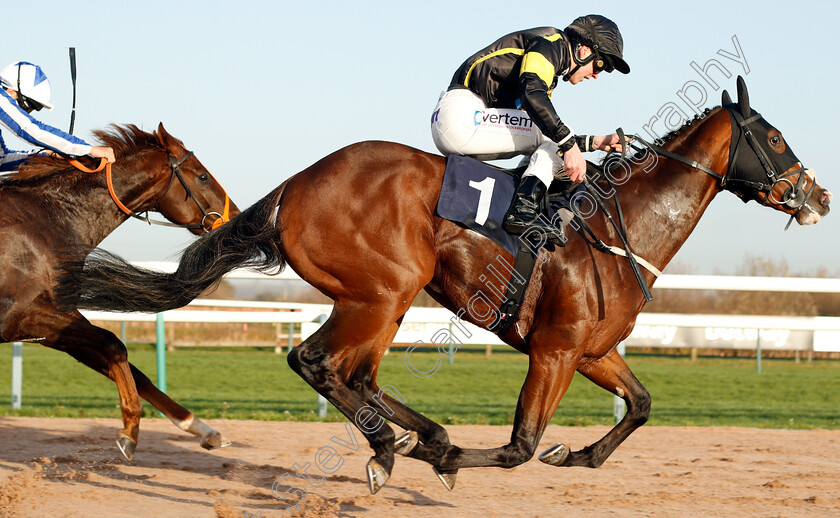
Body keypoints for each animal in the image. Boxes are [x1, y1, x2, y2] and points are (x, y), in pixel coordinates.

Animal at [3, 124, 240, 462]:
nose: (235, 216)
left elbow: (131, 369)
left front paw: (203, 429)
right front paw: (130, 429)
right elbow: (113, 343)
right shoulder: (20, 318)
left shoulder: (51, 322)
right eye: (203, 176)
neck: (46, 222)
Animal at [55, 79, 832, 494]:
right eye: (775, 137)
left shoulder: (590, 350)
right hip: (386, 290)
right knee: (317, 362)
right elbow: (520, 446)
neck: (617, 232)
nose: (818, 196)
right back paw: (402, 448)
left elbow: (641, 404)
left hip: (380, 299)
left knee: (354, 375)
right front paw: (458, 456)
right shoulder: (553, 350)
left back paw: (408, 438)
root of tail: (298, 183)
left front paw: (579, 453)